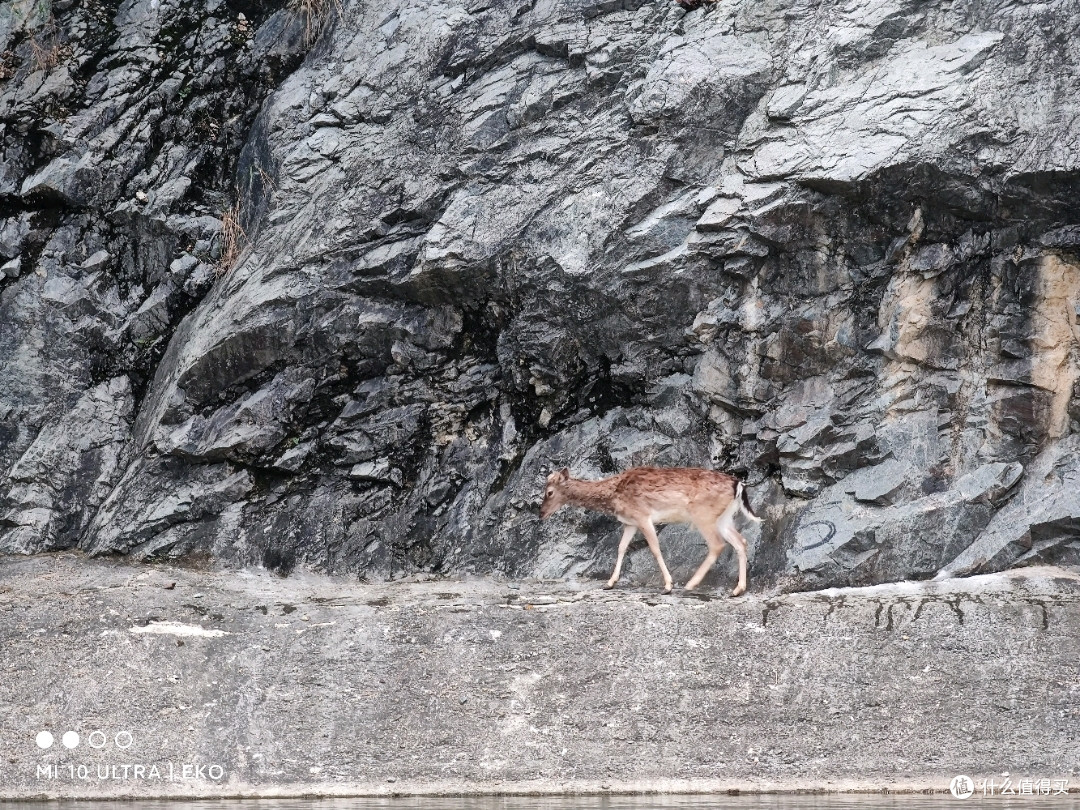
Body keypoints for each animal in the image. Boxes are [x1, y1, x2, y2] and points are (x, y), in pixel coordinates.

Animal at [539, 466, 762, 596]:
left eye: (549, 492)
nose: (540, 513)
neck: (613, 494)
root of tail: (738, 485)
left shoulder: (642, 516)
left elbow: (654, 548)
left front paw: (668, 585)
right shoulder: (630, 522)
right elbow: (621, 547)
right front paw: (610, 583)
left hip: (703, 514)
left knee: (717, 544)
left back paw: (690, 584)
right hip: (724, 517)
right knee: (741, 541)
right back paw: (738, 589)